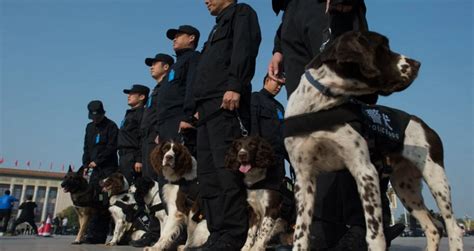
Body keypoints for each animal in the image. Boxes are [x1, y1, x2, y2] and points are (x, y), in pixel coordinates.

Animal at [286, 31, 462, 251]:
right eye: (383, 47)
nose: (417, 63)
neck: (321, 106)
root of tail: (422, 123)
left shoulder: (365, 170)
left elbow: (375, 232)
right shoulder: (304, 178)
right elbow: (301, 233)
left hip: (436, 178)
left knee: (453, 227)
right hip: (406, 187)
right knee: (433, 227)